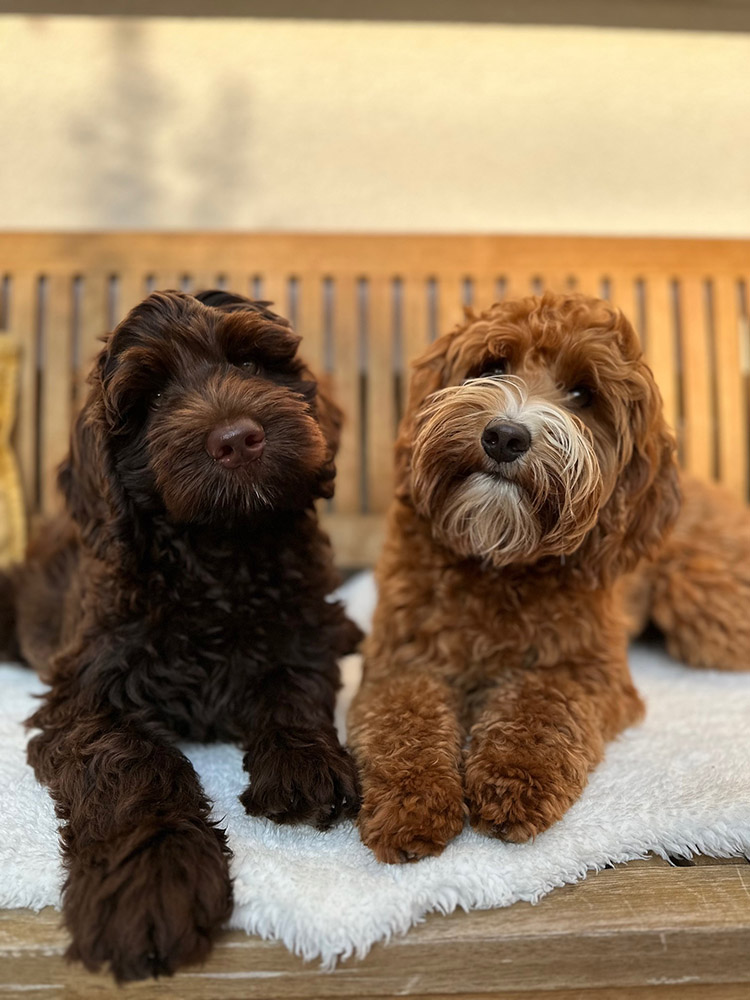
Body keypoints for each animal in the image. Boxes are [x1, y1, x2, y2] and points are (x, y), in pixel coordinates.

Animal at [0, 288, 362, 976]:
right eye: (155, 398)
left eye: (250, 363)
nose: (238, 439)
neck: (217, 554)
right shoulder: (86, 688)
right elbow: (132, 762)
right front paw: (153, 878)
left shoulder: (302, 625)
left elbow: (293, 680)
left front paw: (303, 765)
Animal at [350, 292, 684, 864]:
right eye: (492, 366)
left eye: (583, 394)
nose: (506, 435)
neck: (496, 561)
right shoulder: (399, 659)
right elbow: (403, 718)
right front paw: (412, 802)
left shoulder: (592, 672)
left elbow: (542, 703)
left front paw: (513, 780)